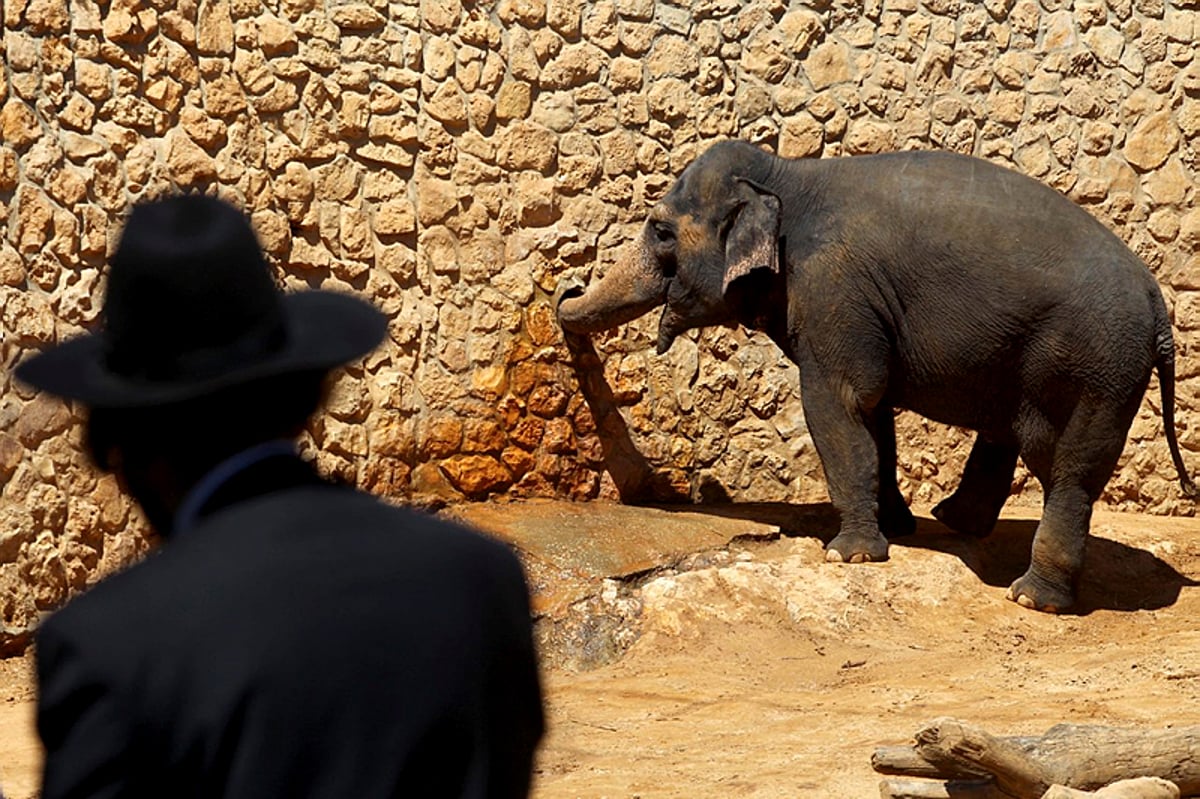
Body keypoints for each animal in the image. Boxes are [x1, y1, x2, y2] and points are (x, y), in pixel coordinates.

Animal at [556, 138, 1195, 609]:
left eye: (661, 231)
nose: (564, 287)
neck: (787, 176)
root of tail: (1158, 307)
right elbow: (874, 410)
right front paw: (897, 526)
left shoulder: (831, 284)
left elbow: (839, 402)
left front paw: (849, 555)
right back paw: (955, 523)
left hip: (1093, 367)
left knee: (1069, 472)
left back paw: (1031, 599)